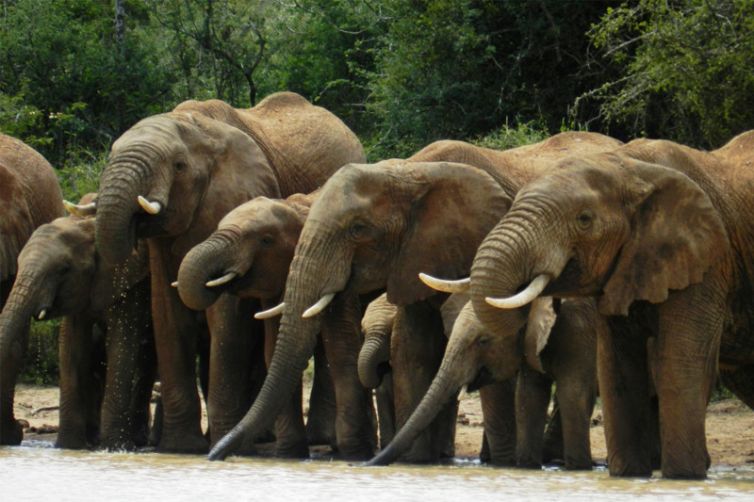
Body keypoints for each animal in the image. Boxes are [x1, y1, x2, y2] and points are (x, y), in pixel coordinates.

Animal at [0, 196, 156, 450]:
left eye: (63, 269)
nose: (18, 429)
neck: (85, 225)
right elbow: (72, 347)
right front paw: (69, 447)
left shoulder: (130, 281)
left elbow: (121, 343)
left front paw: (114, 448)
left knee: (147, 358)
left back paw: (137, 440)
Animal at [366, 292, 600, 469]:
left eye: (484, 341)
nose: (365, 464)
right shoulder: (531, 342)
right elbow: (528, 397)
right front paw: (527, 467)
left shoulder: (578, 331)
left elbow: (573, 395)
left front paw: (578, 469)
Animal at [466, 130, 754, 479]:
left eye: (584, 219)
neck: (632, 169)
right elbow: (618, 369)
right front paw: (629, 476)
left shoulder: (707, 259)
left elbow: (678, 362)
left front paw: (682, 478)